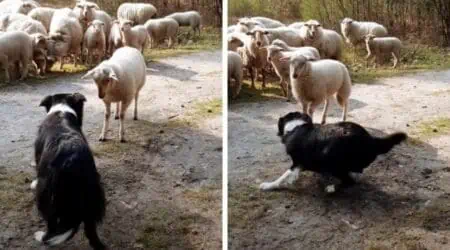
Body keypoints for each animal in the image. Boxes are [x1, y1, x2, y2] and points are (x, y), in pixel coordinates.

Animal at [31, 93, 106, 249]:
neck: (61, 108)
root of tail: (72, 162)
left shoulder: (38, 154)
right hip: (90, 201)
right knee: (91, 235)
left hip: (47, 197)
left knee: (52, 228)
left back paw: (41, 236)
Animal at [258, 112, 406, 192]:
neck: (295, 127)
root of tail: (371, 140)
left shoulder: (296, 162)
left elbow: (283, 177)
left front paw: (268, 185)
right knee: (355, 174)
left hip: (332, 159)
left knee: (349, 181)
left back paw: (331, 187)